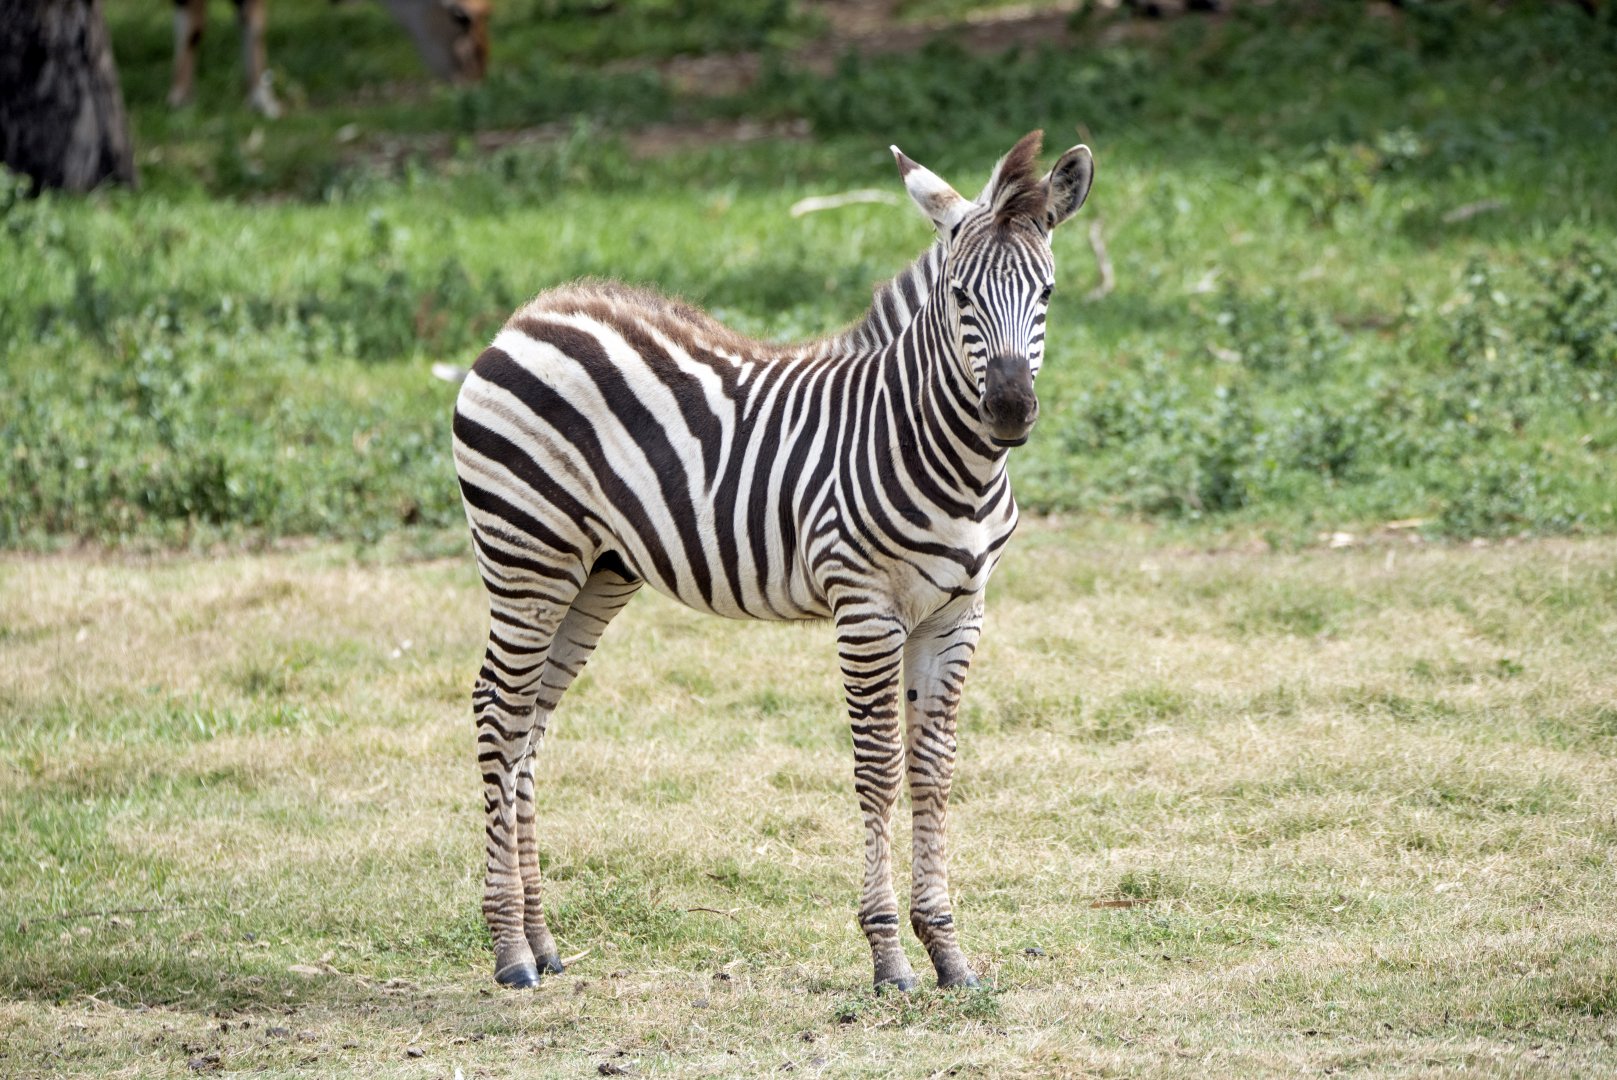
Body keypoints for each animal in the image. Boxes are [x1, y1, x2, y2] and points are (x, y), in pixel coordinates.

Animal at [452, 130, 1094, 991]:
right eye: (960, 295)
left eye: (1047, 294)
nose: (1009, 410)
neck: (945, 455)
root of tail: (531, 314)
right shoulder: (865, 610)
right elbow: (878, 770)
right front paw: (889, 957)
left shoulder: (958, 613)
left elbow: (932, 771)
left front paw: (948, 952)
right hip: (528, 554)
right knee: (498, 710)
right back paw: (510, 951)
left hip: (595, 571)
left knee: (530, 723)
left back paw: (543, 941)